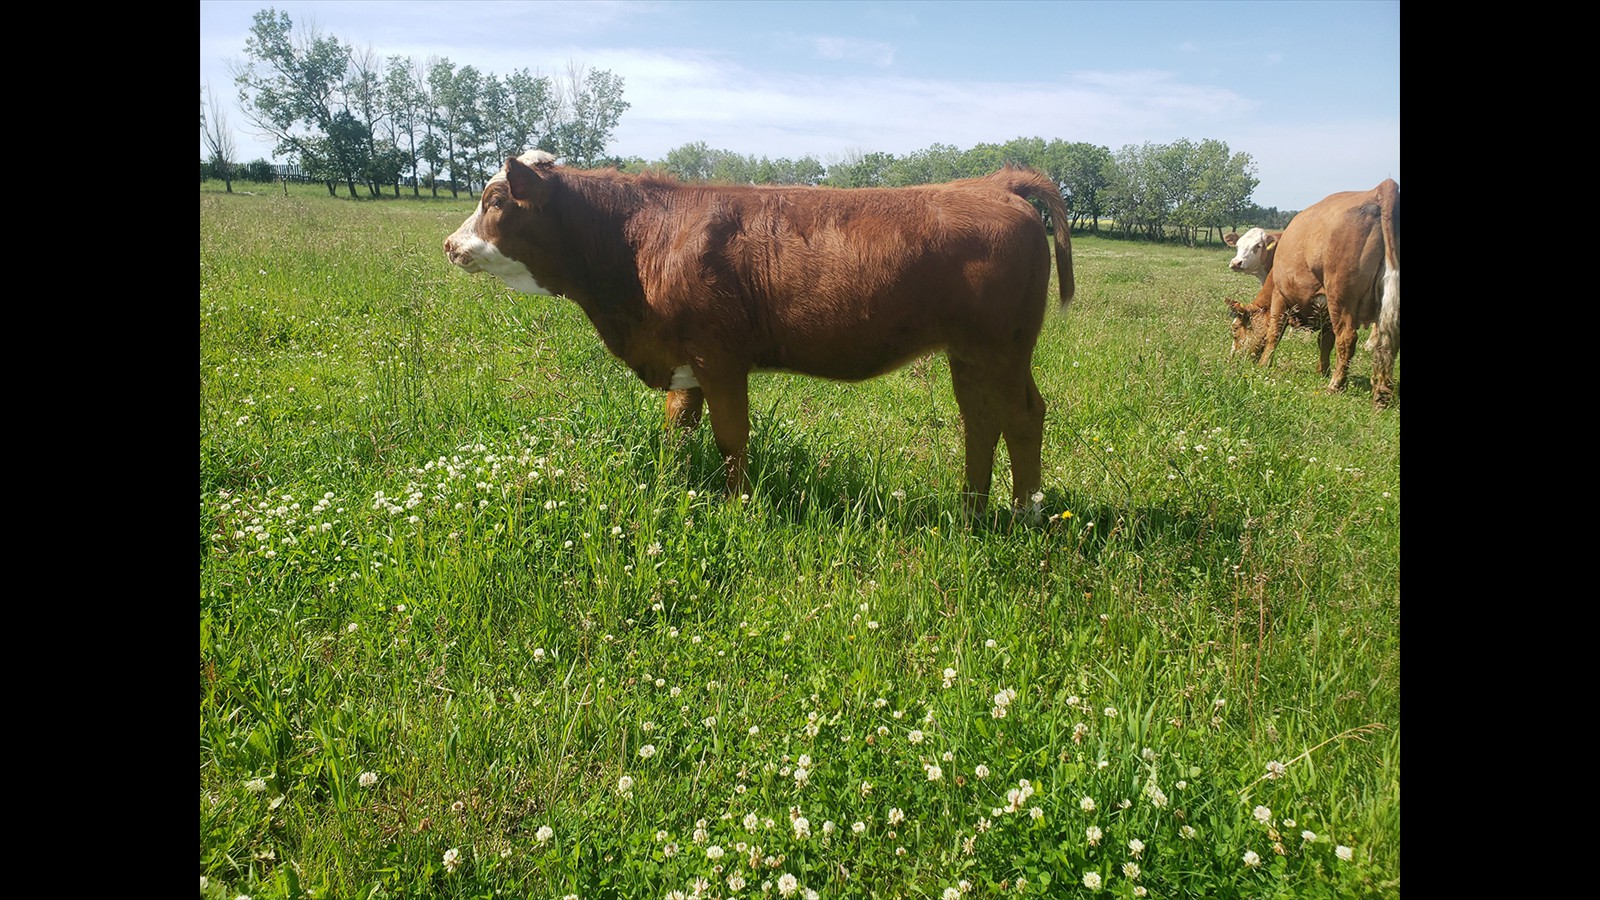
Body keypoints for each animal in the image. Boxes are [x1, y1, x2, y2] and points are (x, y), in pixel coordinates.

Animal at [444, 150, 1075, 516]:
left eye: (495, 199)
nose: (450, 245)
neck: (643, 240)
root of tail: (994, 183)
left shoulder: (718, 356)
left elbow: (731, 437)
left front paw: (735, 508)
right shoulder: (684, 362)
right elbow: (677, 430)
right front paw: (673, 489)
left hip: (1001, 349)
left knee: (1022, 416)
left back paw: (1025, 513)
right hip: (970, 354)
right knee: (983, 420)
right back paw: (971, 511)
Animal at [1223, 180, 1400, 407]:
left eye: (1235, 330)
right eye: (1237, 245)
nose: (1233, 358)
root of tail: (1379, 189)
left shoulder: (1280, 296)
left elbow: (1274, 332)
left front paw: (1264, 364)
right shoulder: (1326, 313)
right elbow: (1325, 342)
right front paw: (1321, 371)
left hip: (1340, 297)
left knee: (1347, 339)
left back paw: (1335, 385)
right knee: (1388, 342)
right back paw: (1381, 393)